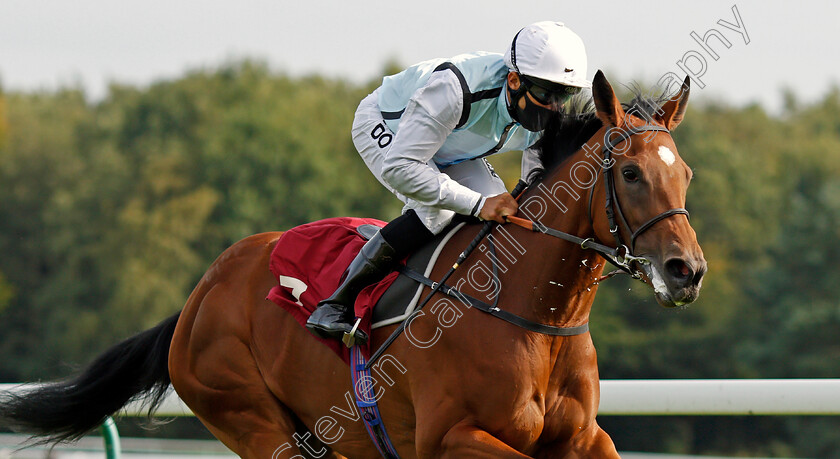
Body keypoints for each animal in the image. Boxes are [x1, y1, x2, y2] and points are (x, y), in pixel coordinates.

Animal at [0, 70, 704, 458]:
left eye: (687, 173)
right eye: (632, 173)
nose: (686, 271)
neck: (532, 315)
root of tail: (199, 297)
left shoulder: (584, 440)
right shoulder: (452, 437)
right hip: (253, 419)